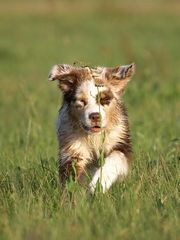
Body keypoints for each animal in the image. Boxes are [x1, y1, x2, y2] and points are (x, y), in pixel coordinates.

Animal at [48, 63, 135, 193]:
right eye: (82, 101)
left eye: (104, 100)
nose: (95, 116)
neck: (94, 137)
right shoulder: (73, 147)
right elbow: (72, 174)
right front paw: (73, 192)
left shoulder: (120, 142)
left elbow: (116, 158)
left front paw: (98, 185)